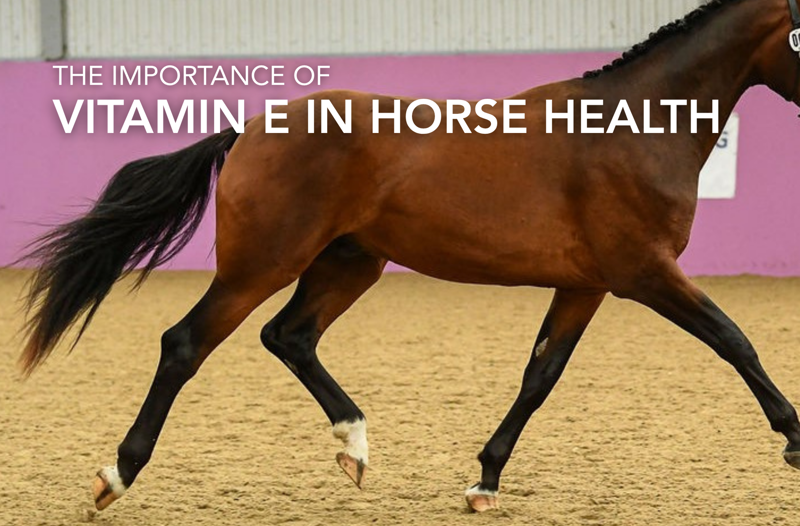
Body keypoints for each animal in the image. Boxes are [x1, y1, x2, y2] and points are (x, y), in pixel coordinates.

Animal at [17, 0, 800, 514]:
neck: (631, 127)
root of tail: (250, 129)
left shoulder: (587, 285)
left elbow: (540, 375)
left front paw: (484, 482)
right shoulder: (645, 273)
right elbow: (735, 340)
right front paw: (794, 440)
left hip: (348, 263)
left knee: (289, 335)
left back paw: (354, 448)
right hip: (263, 265)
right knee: (187, 344)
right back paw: (116, 477)